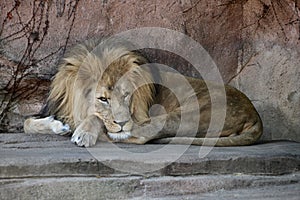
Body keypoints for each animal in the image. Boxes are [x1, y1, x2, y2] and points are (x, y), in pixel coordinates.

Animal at [24, 38, 262, 147]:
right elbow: (26, 123)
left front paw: (83, 132)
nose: (122, 122)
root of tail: (255, 113)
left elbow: (97, 119)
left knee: (140, 135)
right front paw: (58, 125)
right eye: (103, 99)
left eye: (126, 95)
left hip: (188, 112)